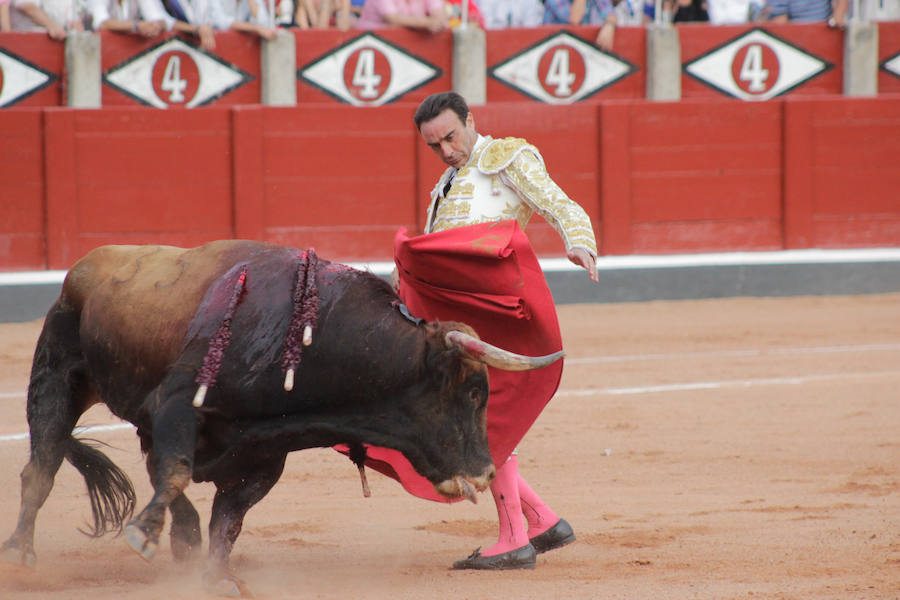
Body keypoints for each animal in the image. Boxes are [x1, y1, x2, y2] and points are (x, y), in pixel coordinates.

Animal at [0, 240, 564, 596]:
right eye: (473, 391)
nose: (484, 472)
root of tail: (84, 267)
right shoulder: (175, 405)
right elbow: (177, 473)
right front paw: (143, 534)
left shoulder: (263, 457)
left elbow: (226, 518)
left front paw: (215, 576)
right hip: (57, 374)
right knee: (42, 467)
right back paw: (21, 555)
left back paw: (181, 542)